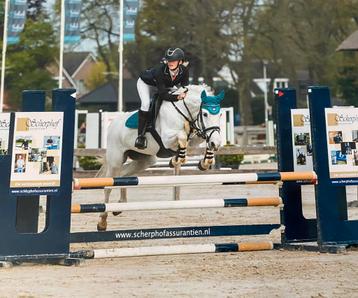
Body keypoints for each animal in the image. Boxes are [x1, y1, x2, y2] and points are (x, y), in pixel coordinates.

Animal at [96, 84, 225, 230]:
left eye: (220, 114)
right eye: (205, 114)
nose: (217, 143)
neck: (182, 111)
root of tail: (113, 124)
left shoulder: (194, 137)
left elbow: (197, 141)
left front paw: (204, 162)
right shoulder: (167, 139)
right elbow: (182, 136)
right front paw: (176, 159)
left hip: (146, 160)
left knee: (123, 176)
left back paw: (120, 205)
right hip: (116, 160)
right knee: (108, 186)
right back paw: (102, 221)